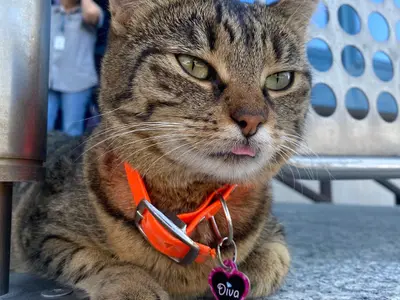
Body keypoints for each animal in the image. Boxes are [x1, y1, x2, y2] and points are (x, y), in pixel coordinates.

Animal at [12, 1, 318, 298]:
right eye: (194, 65)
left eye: (281, 79)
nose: (252, 119)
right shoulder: (42, 228)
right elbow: (91, 259)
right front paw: (134, 285)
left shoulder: (274, 234)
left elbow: (272, 260)